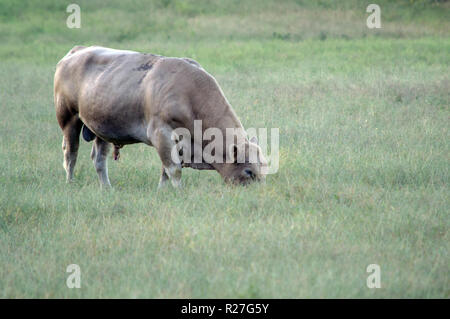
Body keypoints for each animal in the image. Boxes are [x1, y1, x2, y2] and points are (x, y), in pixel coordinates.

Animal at [55, 46, 268, 189]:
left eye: (264, 166)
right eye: (249, 171)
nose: (259, 190)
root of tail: (76, 51)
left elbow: (165, 169)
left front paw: (163, 191)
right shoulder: (161, 133)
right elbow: (173, 168)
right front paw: (179, 192)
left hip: (102, 127)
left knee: (99, 159)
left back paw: (107, 188)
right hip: (69, 119)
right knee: (70, 154)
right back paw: (70, 182)